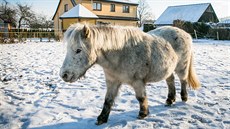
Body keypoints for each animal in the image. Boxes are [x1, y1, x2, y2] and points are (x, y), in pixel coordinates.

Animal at [59, 23, 199, 125]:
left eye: (78, 50)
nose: (64, 75)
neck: (121, 54)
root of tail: (186, 34)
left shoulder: (138, 82)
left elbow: (141, 97)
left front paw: (143, 114)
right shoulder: (112, 81)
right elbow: (108, 100)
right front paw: (102, 119)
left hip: (182, 67)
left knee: (183, 80)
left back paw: (184, 98)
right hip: (168, 69)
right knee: (170, 81)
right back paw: (170, 100)